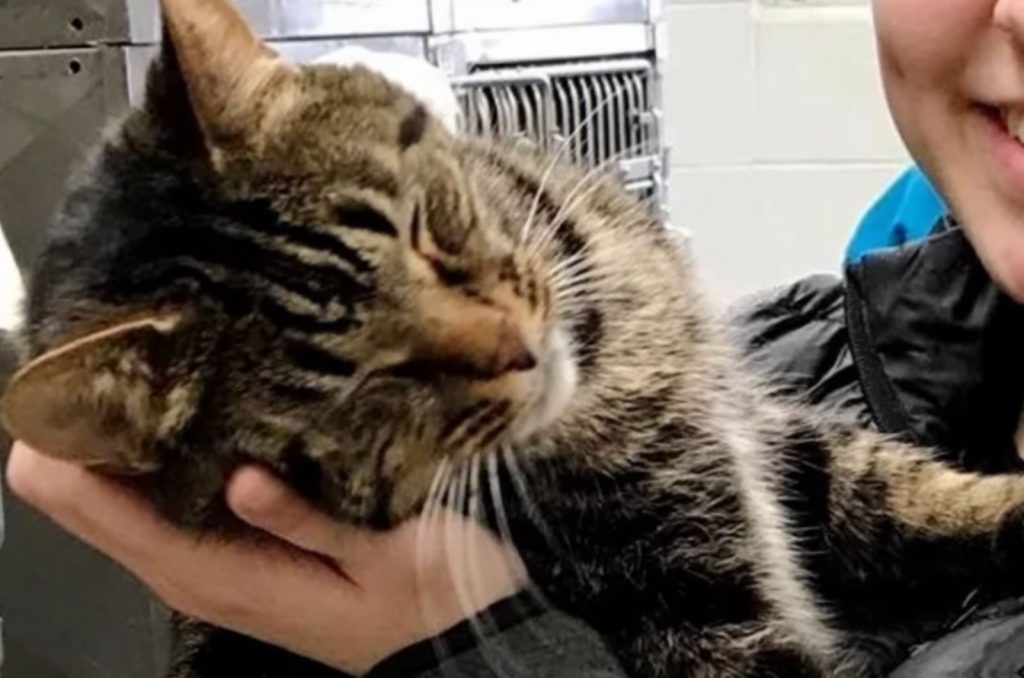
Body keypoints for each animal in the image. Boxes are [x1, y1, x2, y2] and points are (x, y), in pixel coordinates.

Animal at [6, 1, 1024, 678]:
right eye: (369, 386)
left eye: (424, 227)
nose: (520, 348)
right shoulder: (691, 601)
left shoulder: (755, 431)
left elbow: (897, 490)